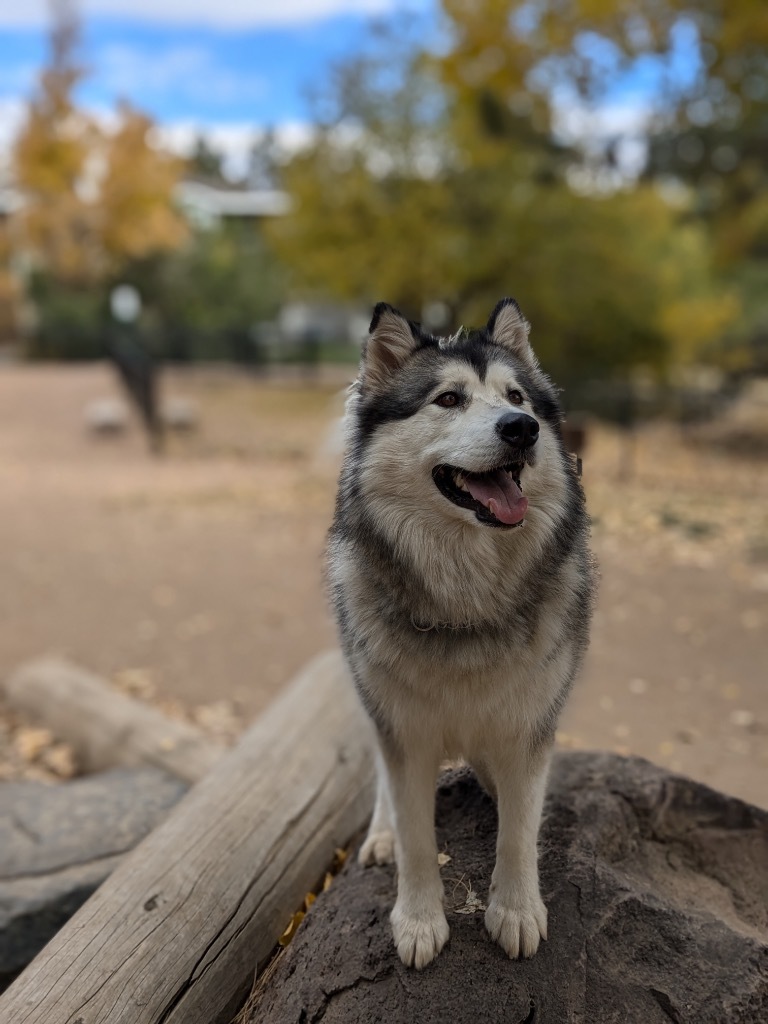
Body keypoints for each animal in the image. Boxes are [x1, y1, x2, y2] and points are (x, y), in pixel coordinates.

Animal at [327, 296, 598, 966]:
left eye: (518, 398)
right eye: (447, 399)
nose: (520, 429)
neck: (466, 602)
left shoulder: (530, 726)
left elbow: (519, 833)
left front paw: (516, 910)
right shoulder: (403, 730)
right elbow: (416, 836)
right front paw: (420, 920)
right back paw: (380, 836)